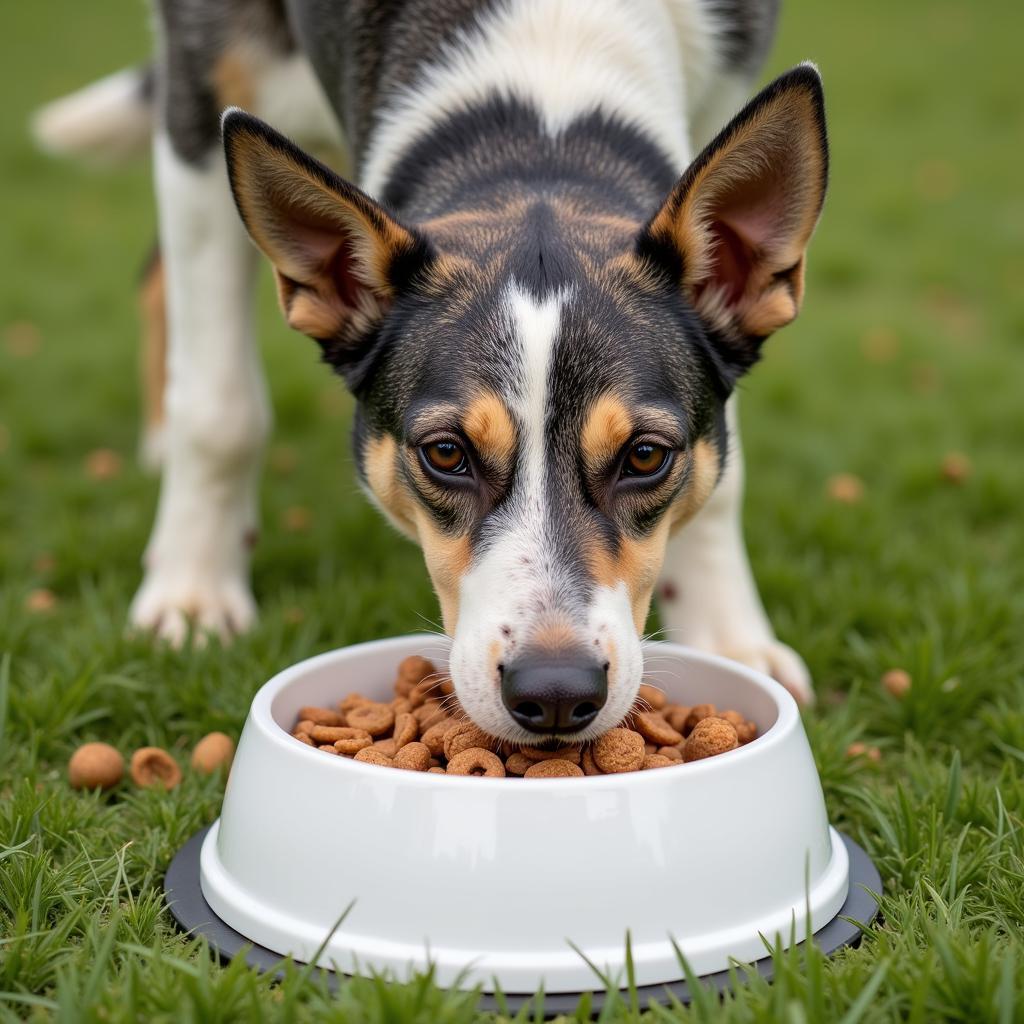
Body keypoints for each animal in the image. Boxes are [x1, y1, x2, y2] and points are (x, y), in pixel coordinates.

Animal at [34, 0, 823, 741]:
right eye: (445, 453)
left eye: (647, 456)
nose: (556, 692)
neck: (544, 94)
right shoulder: (199, 100)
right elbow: (220, 411)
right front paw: (193, 595)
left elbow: (722, 477)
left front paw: (729, 637)